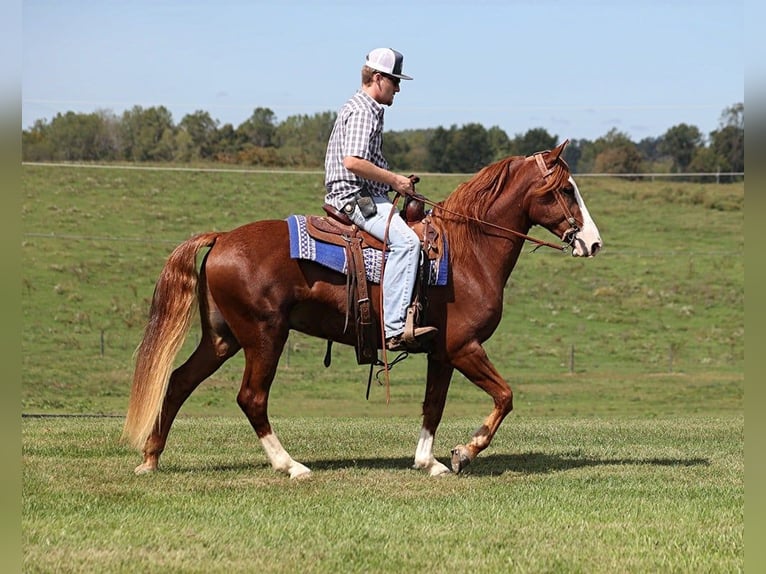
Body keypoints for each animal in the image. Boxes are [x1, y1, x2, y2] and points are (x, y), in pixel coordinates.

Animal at [123, 140, 602, 478]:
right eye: (565, 189)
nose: (592, 242)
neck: (467, 253)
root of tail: (222, 238)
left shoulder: (443, 354)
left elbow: (433, 405)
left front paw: (428, 461)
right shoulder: (464, 347)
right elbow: (504, 396)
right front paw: (464, 452)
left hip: (222, 338)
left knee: (179, 382)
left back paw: (150, 459)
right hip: (264, 335)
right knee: (251, 398)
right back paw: (290, 465)